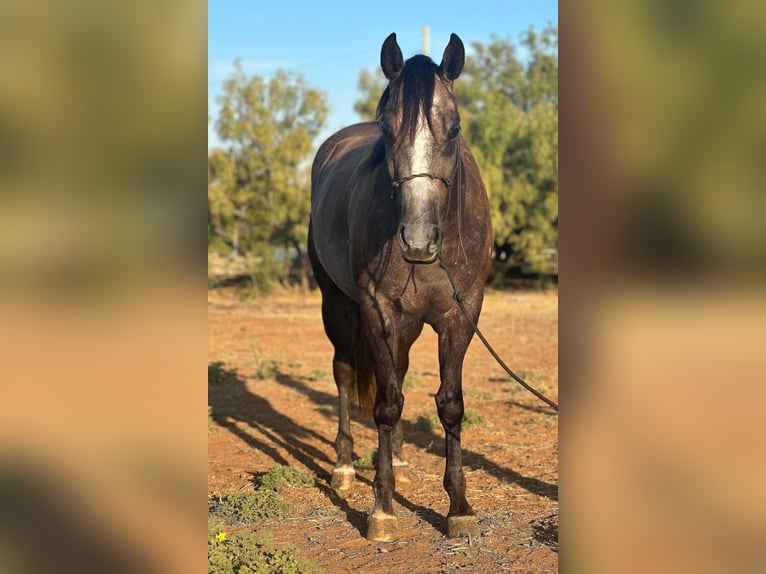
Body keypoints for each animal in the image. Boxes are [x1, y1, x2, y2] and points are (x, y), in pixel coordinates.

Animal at [308, 32, 492, 544]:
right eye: (387, 131)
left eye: (454, 128)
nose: (418, 239)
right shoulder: (377, 311)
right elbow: (387, 406)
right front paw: (383, 509)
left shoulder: (460, 314)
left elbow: (450, 406)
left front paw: (459, 508)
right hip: (338, 305)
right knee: (345, 373)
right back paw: (345, 467)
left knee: (402, 372)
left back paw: (405, 460)